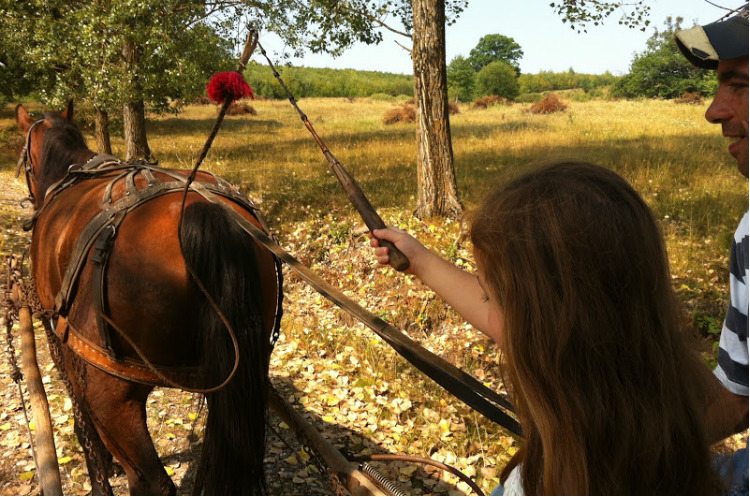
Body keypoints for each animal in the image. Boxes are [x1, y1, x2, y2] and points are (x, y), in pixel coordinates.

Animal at [16, 102, 284, 494]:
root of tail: (203, 211)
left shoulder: (59, 342)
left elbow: (83, 423)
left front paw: (100, 471)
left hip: (114, 398)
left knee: (150, 480)